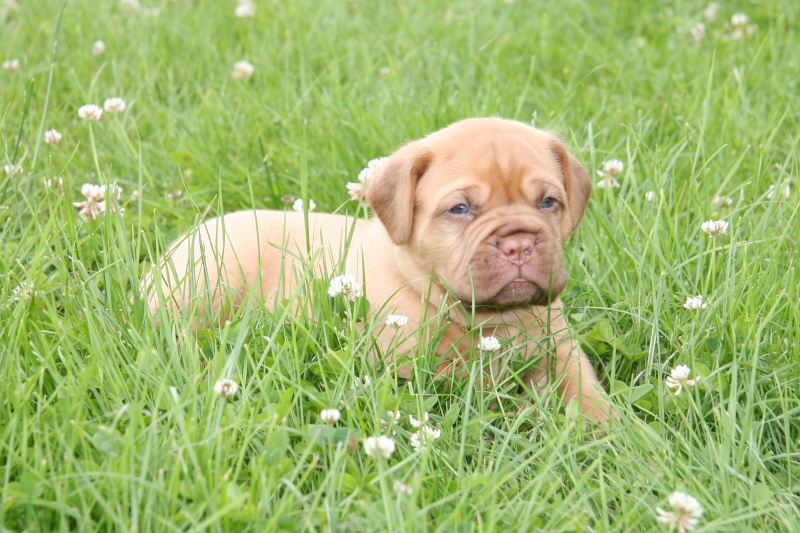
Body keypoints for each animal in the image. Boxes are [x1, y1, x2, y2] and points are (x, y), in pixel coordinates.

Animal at [145, 118, 612, 422]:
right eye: (461, 209)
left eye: (548, 202)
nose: (519, 244)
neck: (493, 321)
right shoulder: (417, 371)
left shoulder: (562, 347)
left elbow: (584, 387)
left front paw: (604, 426)